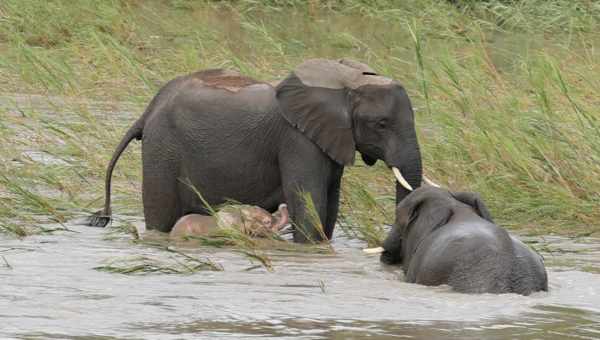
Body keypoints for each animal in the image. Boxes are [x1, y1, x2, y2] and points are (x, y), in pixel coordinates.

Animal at [91, 58, 424, 242]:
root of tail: (149, 110)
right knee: (161, 216)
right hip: (162, 151)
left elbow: (329, 206)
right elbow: (311, 206)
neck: (349, 79)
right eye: (381, 124)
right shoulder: (297, 141)